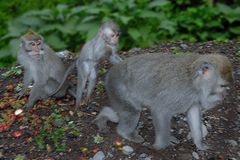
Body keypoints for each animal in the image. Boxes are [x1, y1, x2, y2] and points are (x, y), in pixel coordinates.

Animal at [94, 53, 233, 151]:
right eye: (222, 86)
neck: (194, 81)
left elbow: (193, 113)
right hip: (118, 87)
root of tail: (112, 71)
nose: (225, 94)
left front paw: (200, 144)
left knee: (120, 113)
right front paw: (159, 147)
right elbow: (160, 110)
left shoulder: (192, 98)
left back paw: (103, 117)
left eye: (226, 86)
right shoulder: (180, 93)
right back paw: (125, 132)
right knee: (132, 112)